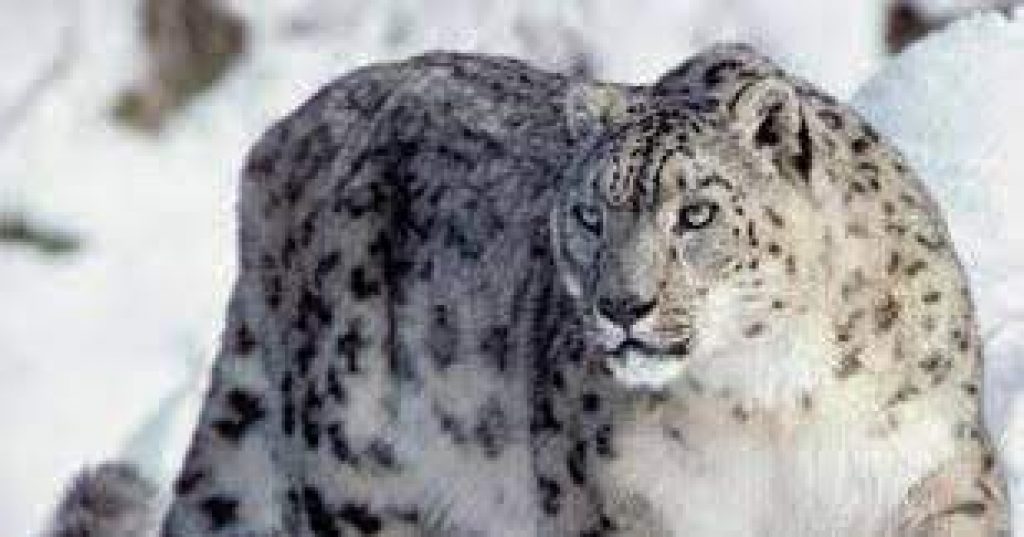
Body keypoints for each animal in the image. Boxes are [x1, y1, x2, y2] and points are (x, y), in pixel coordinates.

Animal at [47, 44, 1009, 537]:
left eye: (696, 212)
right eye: (587, 213)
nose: (622, 305)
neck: (772, 403)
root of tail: (275, 145)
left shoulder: (926, 466)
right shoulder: (618, 503)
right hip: (357, 478)